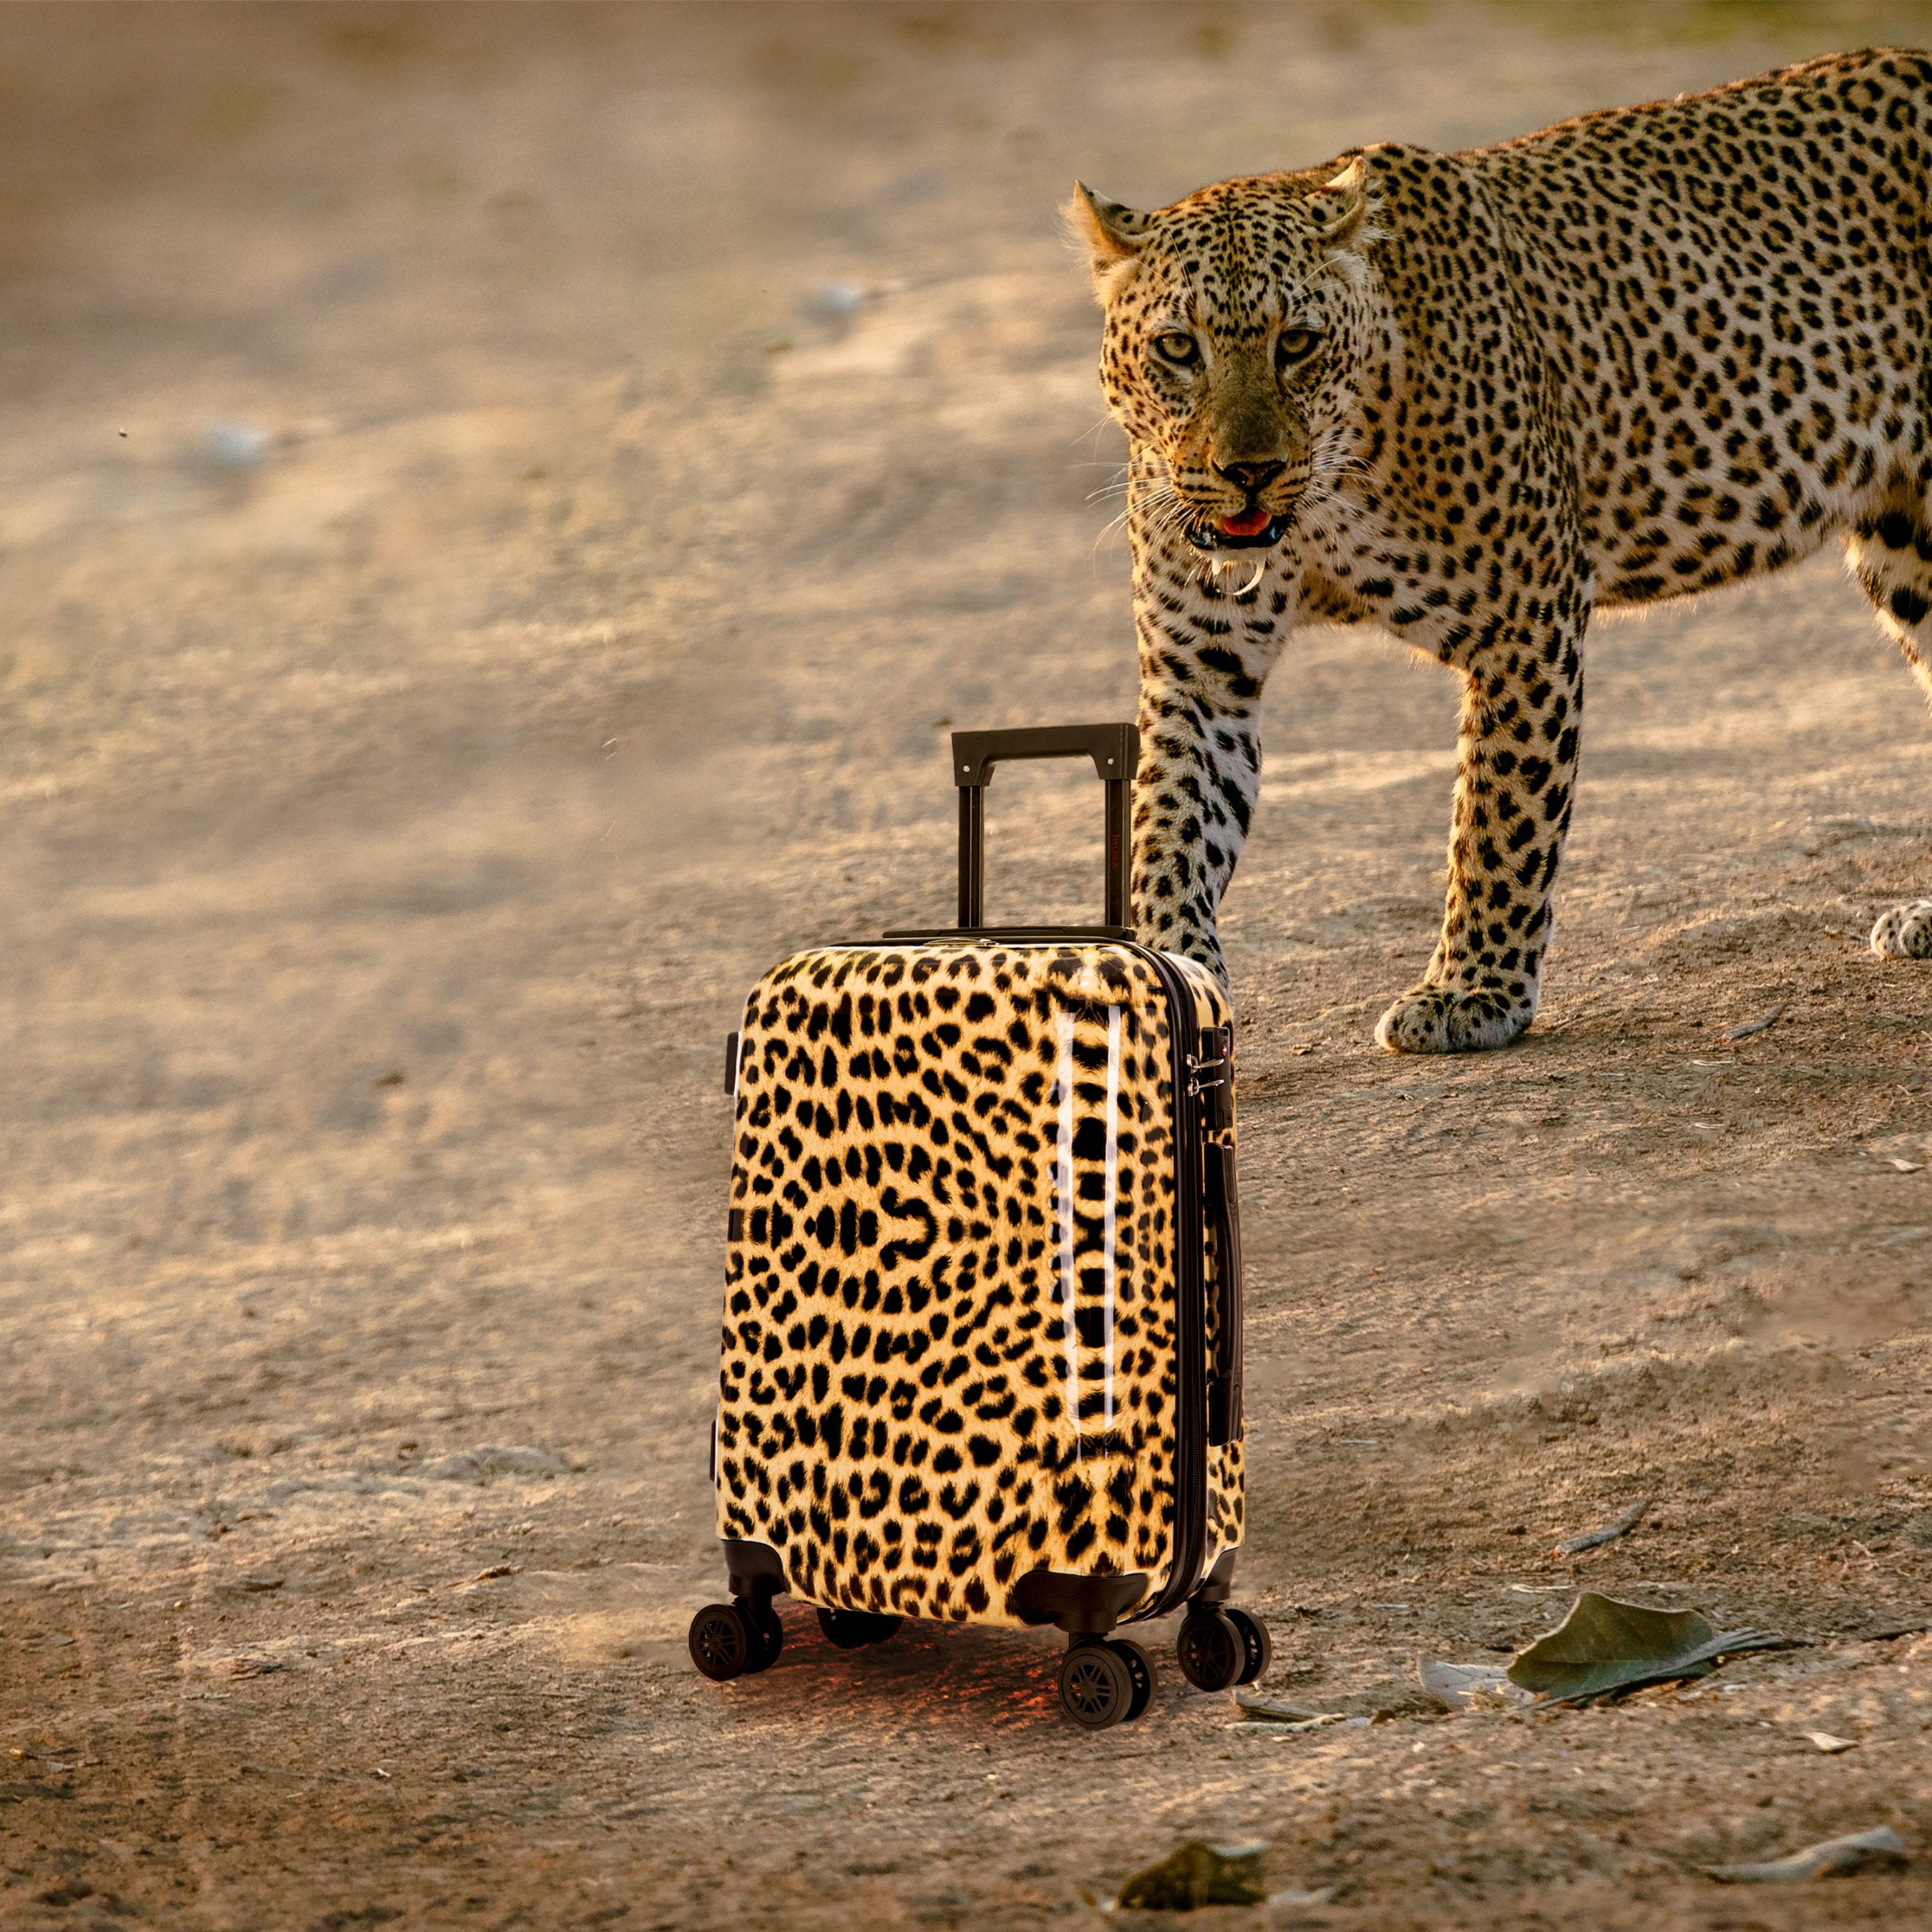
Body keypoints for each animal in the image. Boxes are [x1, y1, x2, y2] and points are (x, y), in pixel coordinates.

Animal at [1071, 47, 1932, 1054]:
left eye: (1299, 343)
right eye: (1178, 347)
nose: (1248, 472)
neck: (1328, 495)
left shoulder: (1528, 619)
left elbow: (1499, 818)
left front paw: (1470, 991)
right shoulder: (1199, 670)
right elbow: (1168, 833)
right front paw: (1161, 989)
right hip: (1906, 544)